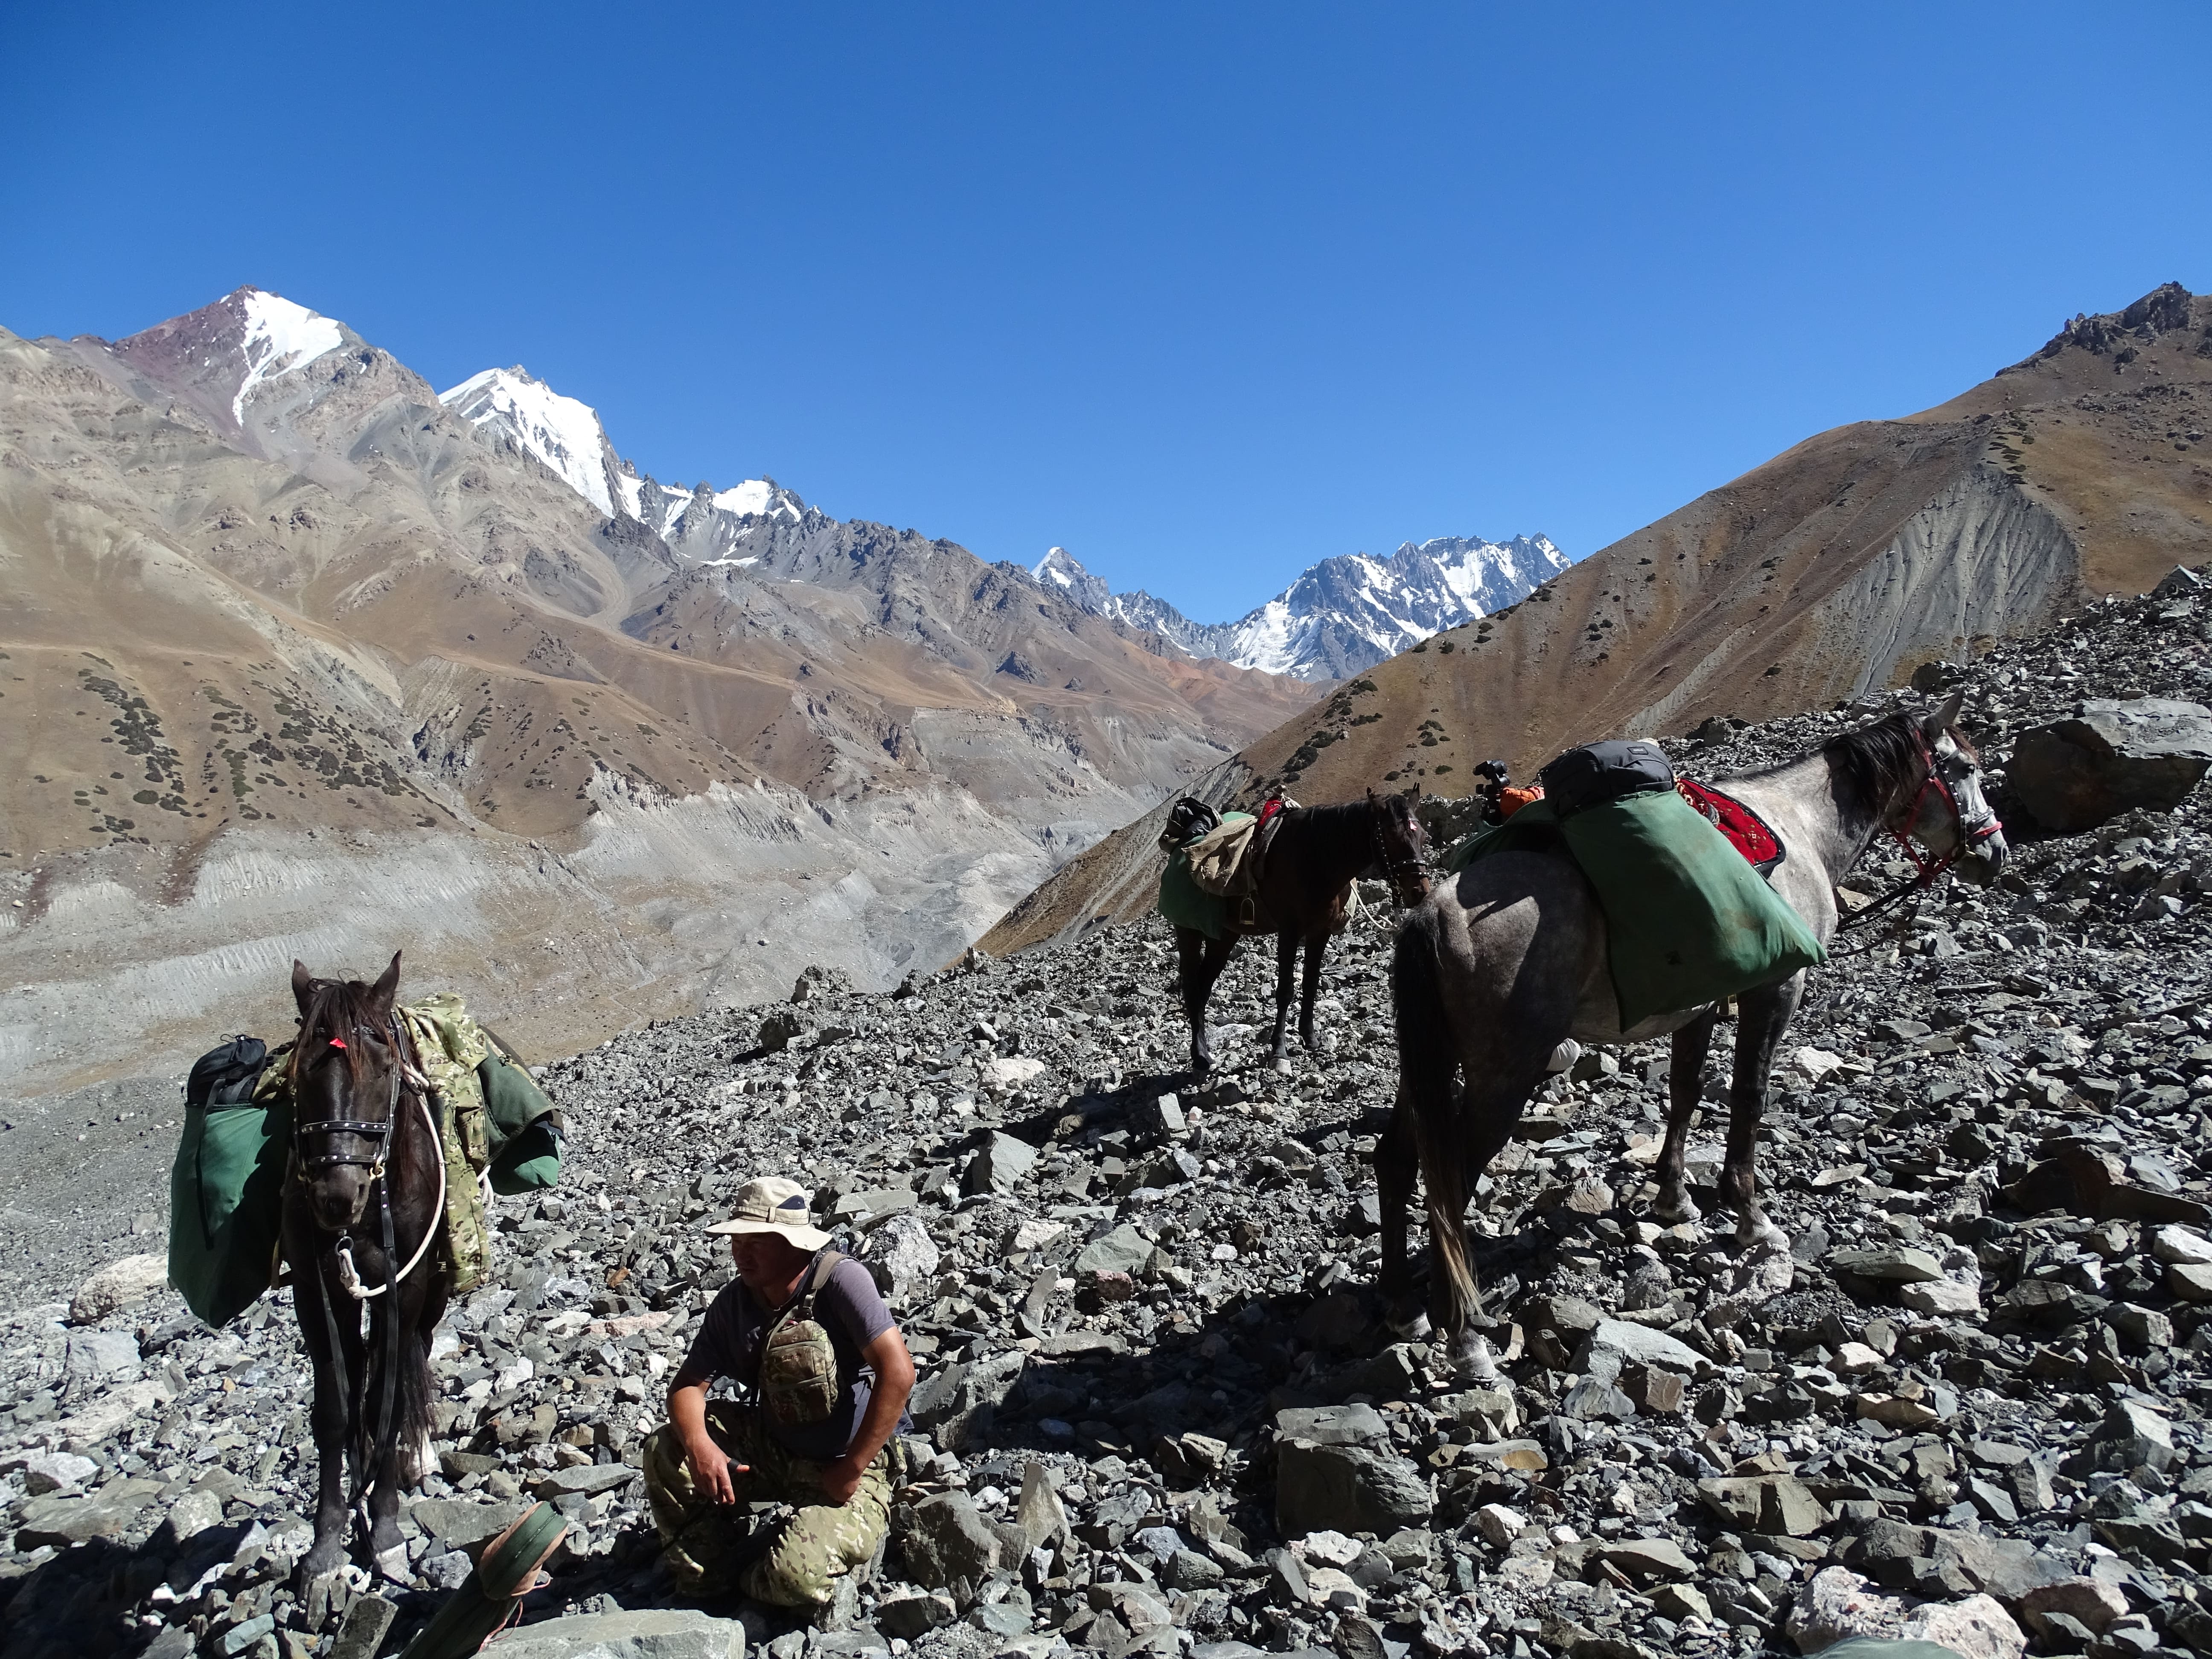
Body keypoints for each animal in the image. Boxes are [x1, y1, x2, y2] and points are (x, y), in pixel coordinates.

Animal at [282, 953, 452, 1583]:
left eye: (383, 1066)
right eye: (301, 1070)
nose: (337, 1195)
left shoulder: (406, 1284)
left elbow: (389, 1395)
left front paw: (384, 1527)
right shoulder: (315, 1292)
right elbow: (334, 1407)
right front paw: (329, 1538)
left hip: (433, 1290)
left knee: (412, 1355)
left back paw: (410, 1458)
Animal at [1175, 789, 1432, 1077]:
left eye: (1424, 836)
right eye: (1391, 836)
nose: (1419, 892)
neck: (1316, 859)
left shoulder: (1320, 932)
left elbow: (1310, 982)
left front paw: (1310, 1038)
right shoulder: (1289, 932)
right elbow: (1285, 990)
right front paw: (1279, 1051)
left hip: (1225, 936)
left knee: (1204, 986)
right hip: (1188, 931)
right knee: (1193, 988)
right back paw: (1200, 1057)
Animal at [1379, 693, 2006, 1371]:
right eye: (1966, 768)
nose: (1995, 853)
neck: (1801, 830)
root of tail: (1429, 916)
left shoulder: (1700, 1006)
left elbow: (1685, 1093)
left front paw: (1673, 1199)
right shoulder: (1775, 990)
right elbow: (1748, 1097)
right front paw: (1751, 1217)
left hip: (1433, 1064)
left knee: (1396, 1158)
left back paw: (1402, 1306)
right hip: (1503, 1073)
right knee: (1450, 1181)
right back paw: (1466, 1336)